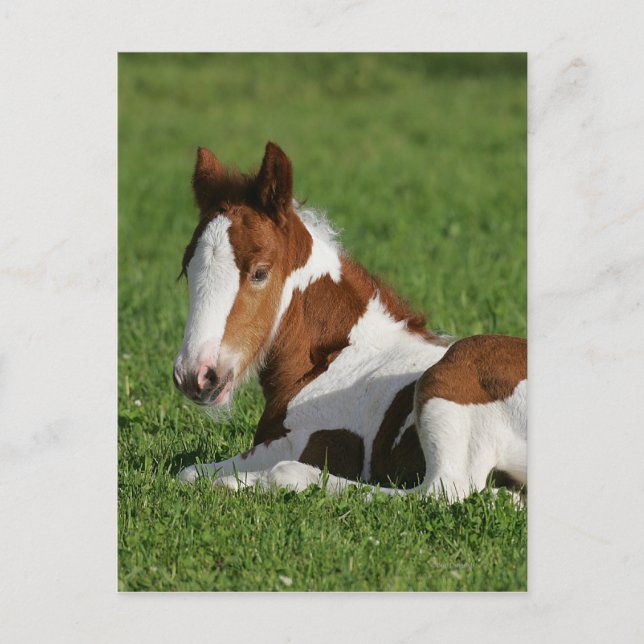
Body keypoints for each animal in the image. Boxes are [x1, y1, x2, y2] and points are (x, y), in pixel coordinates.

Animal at [173, 142, 527, 501]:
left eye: (259, 272)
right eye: (186, 269)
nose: (196, 376)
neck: (337, 356)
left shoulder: (307, 441)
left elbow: (192, 472)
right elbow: (189, 472)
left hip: (449, 378)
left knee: (440, 490)